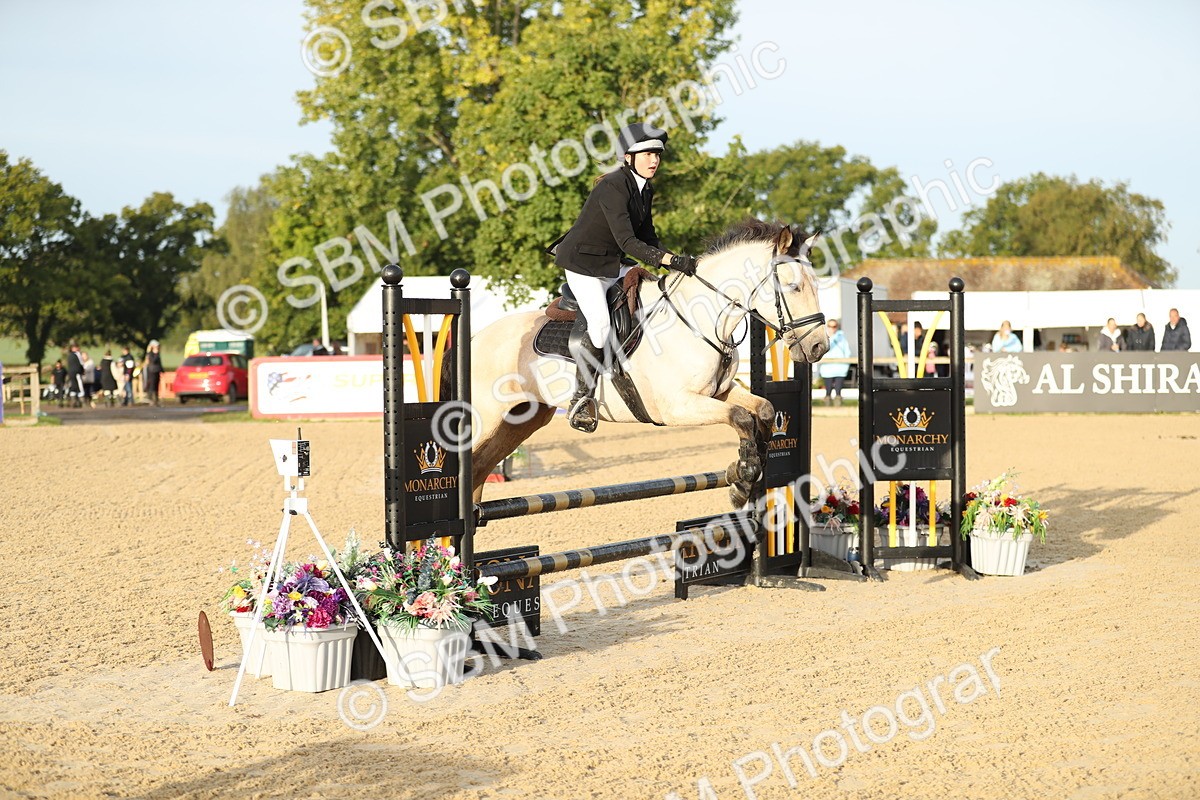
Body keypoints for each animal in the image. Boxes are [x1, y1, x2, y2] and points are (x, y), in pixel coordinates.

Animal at [461, 219, 829, 508]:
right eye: (794, 287)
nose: (818, 347)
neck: (701, 318)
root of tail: (477, 337)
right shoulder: (677, 407)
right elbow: (740, 417)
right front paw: (742, 480)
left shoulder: (718, 393)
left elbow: (763, 411)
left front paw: (745, 474)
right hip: (486, 417)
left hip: (522, 419)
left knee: (479, 467)